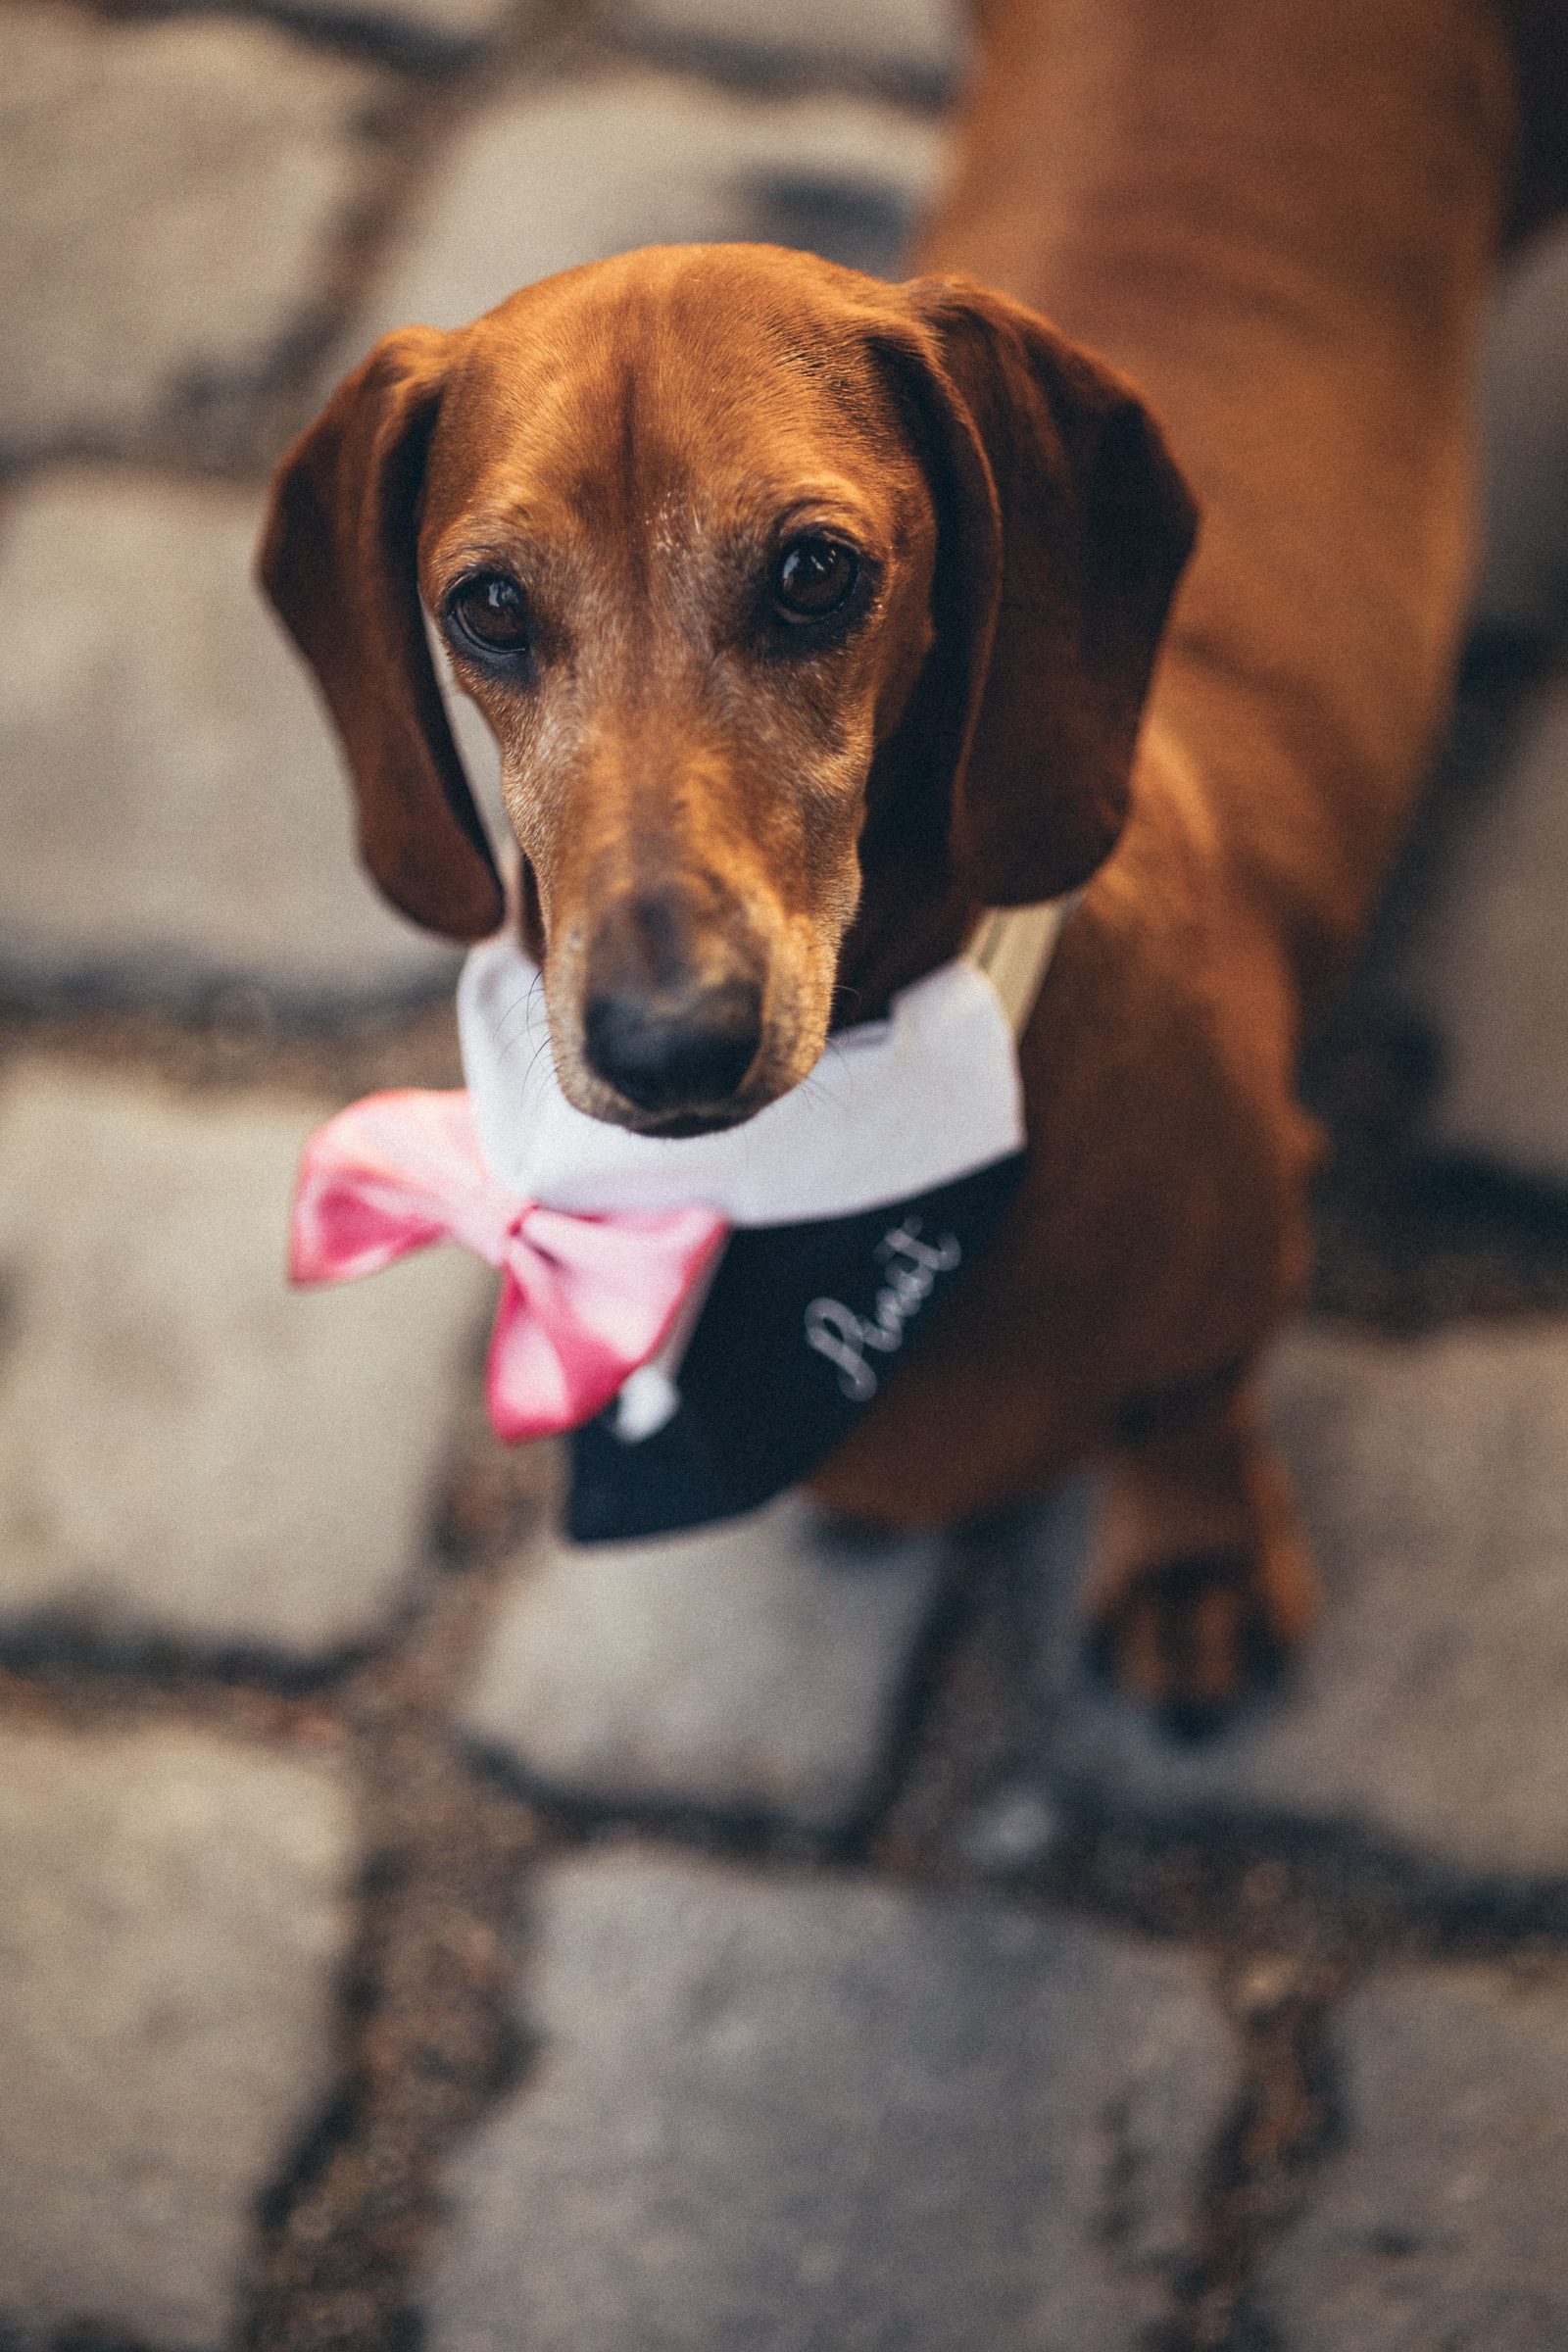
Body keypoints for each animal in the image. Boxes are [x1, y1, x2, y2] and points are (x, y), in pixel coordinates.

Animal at [260, 0, 1515, 1727]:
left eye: (813, 572)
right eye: (489, 606)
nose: (669, 1044)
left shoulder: (1250, 1247)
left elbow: (1190, 1399)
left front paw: (1192, 1561)